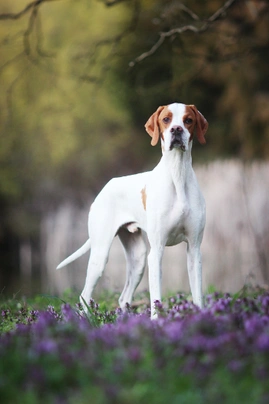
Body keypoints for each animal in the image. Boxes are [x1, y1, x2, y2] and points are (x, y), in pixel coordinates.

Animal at [56, 103, 207, 318]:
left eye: (188, 120)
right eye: (166, 119)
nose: (176, 129)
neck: (177, 174)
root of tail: (104, 188)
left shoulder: (194, 250)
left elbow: (198, 296)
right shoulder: (156, 252)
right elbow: (156, 299)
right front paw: (156, 322)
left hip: (138, 260)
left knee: (123, 297)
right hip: (101, 256)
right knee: (84, 296)